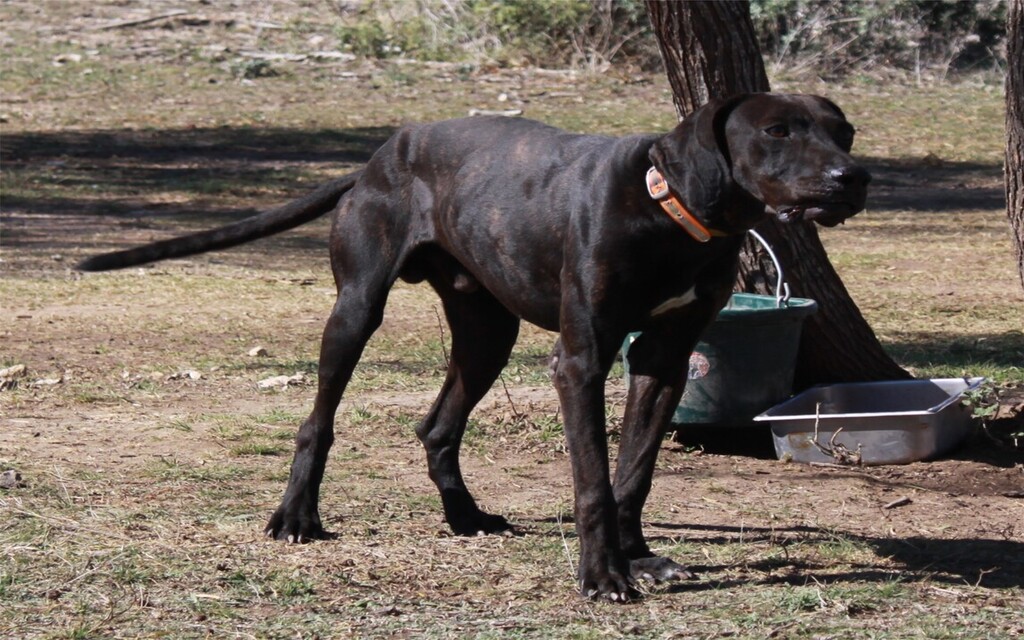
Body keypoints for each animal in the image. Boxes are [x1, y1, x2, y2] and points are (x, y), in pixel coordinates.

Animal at [75, 92, 868, 602]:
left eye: (845, 133)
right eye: (777, 131)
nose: (850, 177)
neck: (672, 213)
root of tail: (381, 152)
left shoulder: (665, 362)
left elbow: (635, 472)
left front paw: (638, 558)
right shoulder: (581, 359)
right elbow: (592, 480)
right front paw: (603, 576)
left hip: (489, 332)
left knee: (437, 426)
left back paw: (465, 517)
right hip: (356, 310)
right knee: (317, 420)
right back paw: (297, 518)